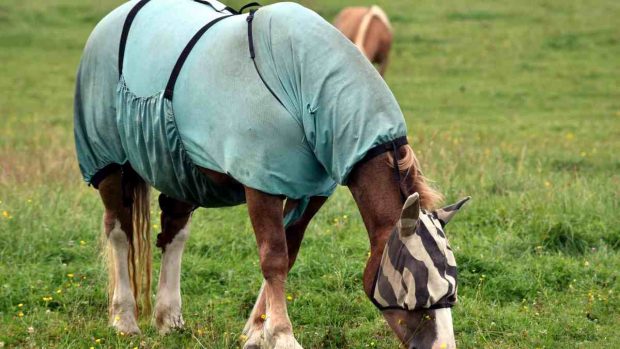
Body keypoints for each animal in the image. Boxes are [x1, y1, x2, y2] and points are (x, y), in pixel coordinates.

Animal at [74, 1, 470, 346]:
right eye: (415, 291)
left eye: (451, 291)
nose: (443, 347)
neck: (302, 82)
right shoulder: (261, 184)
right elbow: (274, 257)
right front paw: (281, 335)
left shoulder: (311, 189)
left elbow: (289, 253)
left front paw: (255, 331)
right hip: (109, 163)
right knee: (119, 231)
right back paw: (124, 319)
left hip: (177, 167)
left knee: (173, 231)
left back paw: (168, 318)